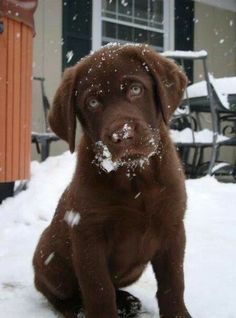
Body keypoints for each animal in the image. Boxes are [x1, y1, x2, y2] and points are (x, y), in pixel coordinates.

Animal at [32, 44, 192, 318]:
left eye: (135, 89)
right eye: (92, 102)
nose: (122, 134)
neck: (135, 177)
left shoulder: (173, 227)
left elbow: (173, 282)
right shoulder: (88, 235)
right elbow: (99, 289)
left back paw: (127, 301)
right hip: (47, 257)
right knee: (56, 293)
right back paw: (77, 308)